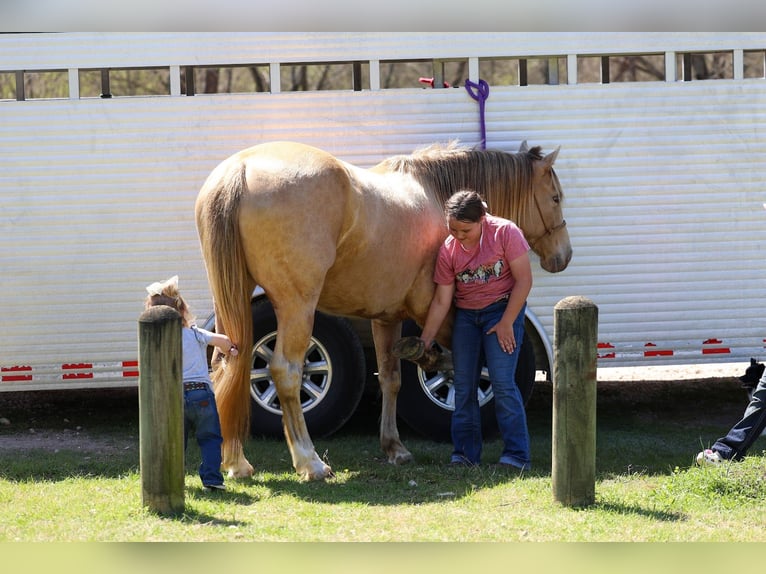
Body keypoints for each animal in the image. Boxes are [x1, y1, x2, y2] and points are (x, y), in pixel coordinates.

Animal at [195, 140, 571, 480]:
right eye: (555, 198)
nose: (563, 256)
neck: (433, 196)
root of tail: (241, 170)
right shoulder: (431, 308)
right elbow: (460, 364)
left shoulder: (386, 318)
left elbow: (391, 378)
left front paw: (394, 448)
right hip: (296, 307)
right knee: (285, 371)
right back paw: (310, 462)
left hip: (232, 298)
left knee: (228, 363)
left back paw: (237, 463)